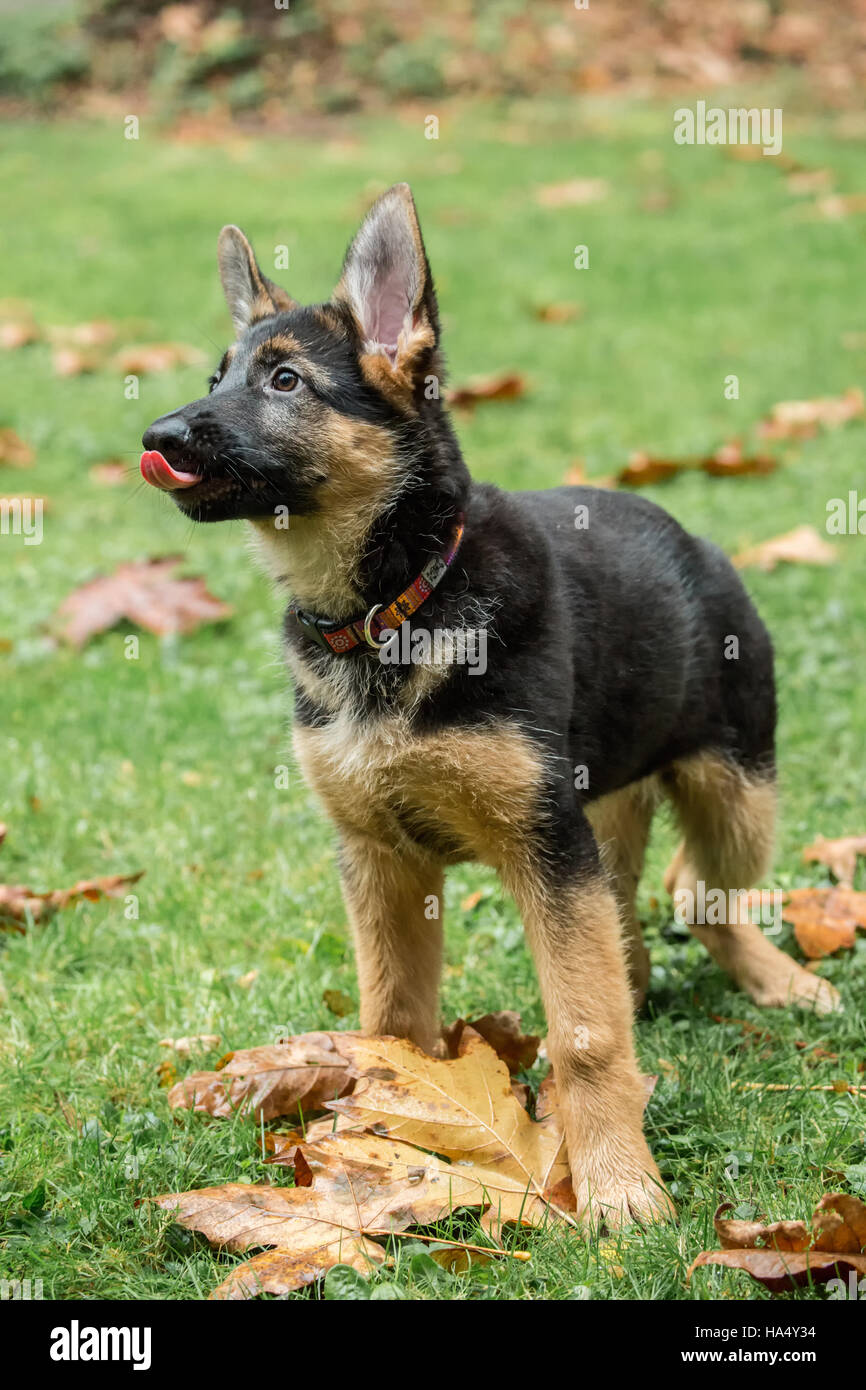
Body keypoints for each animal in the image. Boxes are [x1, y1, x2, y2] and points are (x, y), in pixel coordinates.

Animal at [142, 182, 839, 1228]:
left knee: (700, 893)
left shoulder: (545, 844)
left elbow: (589, 1035)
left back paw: (781, 982)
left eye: (287, 382)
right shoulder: (384, 861)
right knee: (632, 920)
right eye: (217, 375)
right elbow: (391, 1022)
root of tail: (694, 538)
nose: (158, 440)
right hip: (615, 814)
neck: (397, 604)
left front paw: (618, 1185)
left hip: (737, 790)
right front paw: (378, 1131)